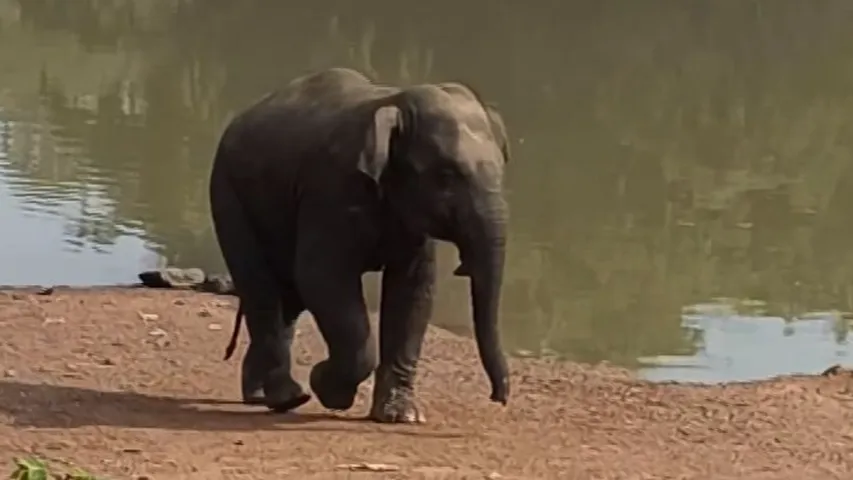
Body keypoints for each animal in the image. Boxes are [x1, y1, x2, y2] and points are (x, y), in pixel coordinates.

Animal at [208, 67, 512, 423]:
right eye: (446, 175)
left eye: (502, 170)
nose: (499, 398)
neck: (394, 103)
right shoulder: (331, 187)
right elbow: (321, 276)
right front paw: (328, 389)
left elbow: (414, 288)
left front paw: (401, 416)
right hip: (228, 195)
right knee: (262, 287)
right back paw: (289, 397)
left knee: (287, 297)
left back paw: (261, 396)